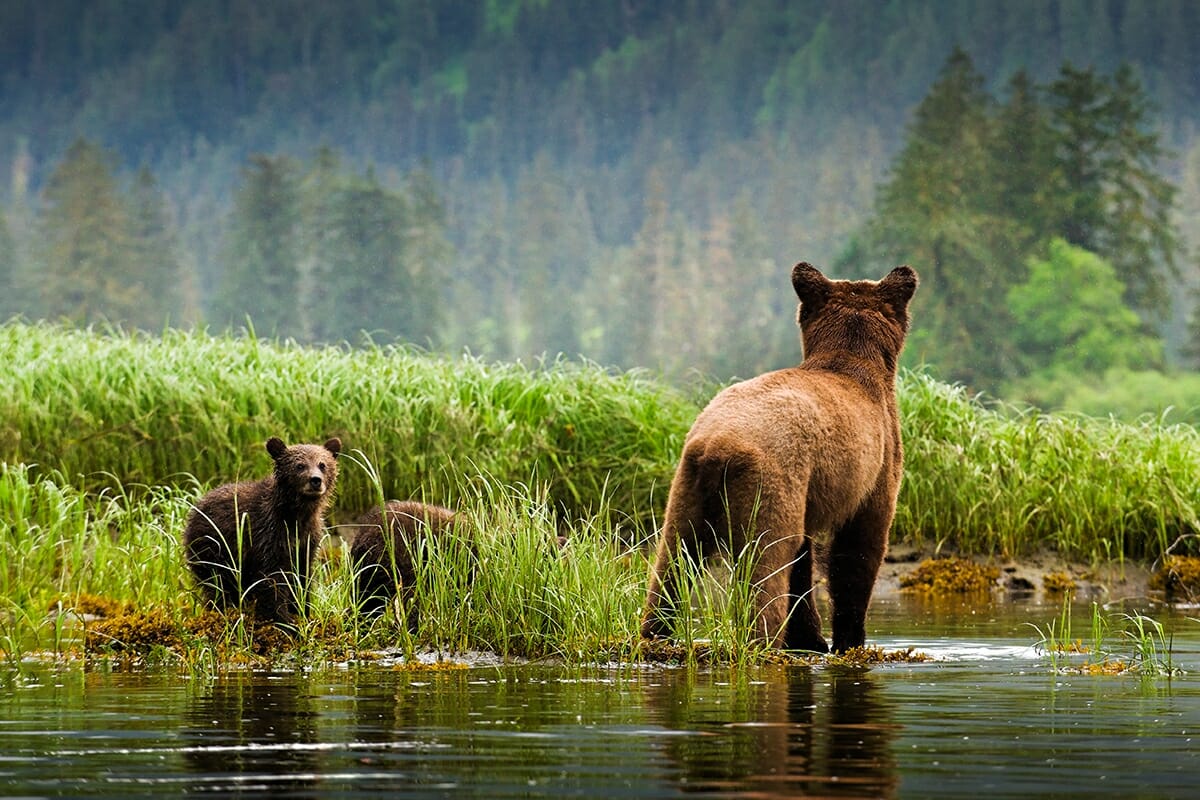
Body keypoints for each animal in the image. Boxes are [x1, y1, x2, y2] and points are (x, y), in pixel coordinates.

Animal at [183, 438, 343, 623]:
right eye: (299, 465)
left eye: (322, 464)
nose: (315, 480)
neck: (296, 513)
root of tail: (196, 506)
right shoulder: (267, 533)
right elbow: (271, 576)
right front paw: (283, 617)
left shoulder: (308, 538)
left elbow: (302, 574)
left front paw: (302, 610)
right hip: (212, 547)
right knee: (217, 582)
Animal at [643, 266, 912, 652]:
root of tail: (718, 445)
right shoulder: (875, 462)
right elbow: (858, 546)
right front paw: (848, 640)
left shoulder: (810, 490)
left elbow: (804, 557)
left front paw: (810, 638)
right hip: (771, 483)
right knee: (766, 565)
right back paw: (763, 640)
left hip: (687, 487)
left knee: (674, 559)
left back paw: (655, 632)